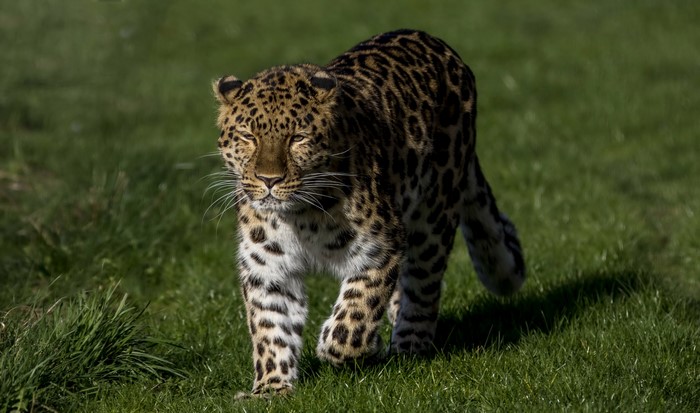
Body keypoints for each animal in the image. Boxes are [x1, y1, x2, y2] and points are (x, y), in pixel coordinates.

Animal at [212, 29, 525, 397]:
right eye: (248, 136)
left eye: (297, 138)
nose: (269, 180)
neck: (298, 217)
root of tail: (435, 42)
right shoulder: (268, 267)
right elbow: (270, 327)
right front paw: (271, 388)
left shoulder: (381, 245)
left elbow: (358, 309)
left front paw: (343, 344)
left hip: (434, 214)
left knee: (423, 284)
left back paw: (409, 346)